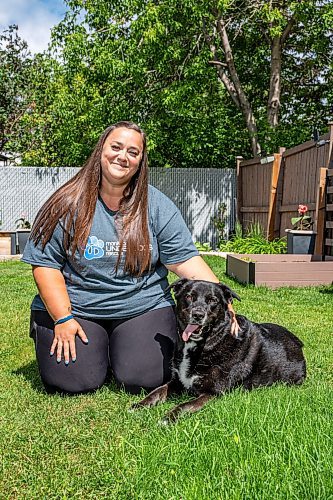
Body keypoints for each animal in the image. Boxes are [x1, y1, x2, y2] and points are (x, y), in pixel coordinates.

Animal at [130, 280, 306, 420]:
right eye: (189, 297)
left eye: (212, 300)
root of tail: (299, 342)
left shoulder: (212, 393)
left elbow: (184, 405)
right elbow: (157, 391)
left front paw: (168, 418)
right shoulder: (177, 381)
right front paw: (139, 406)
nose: (198, 314)